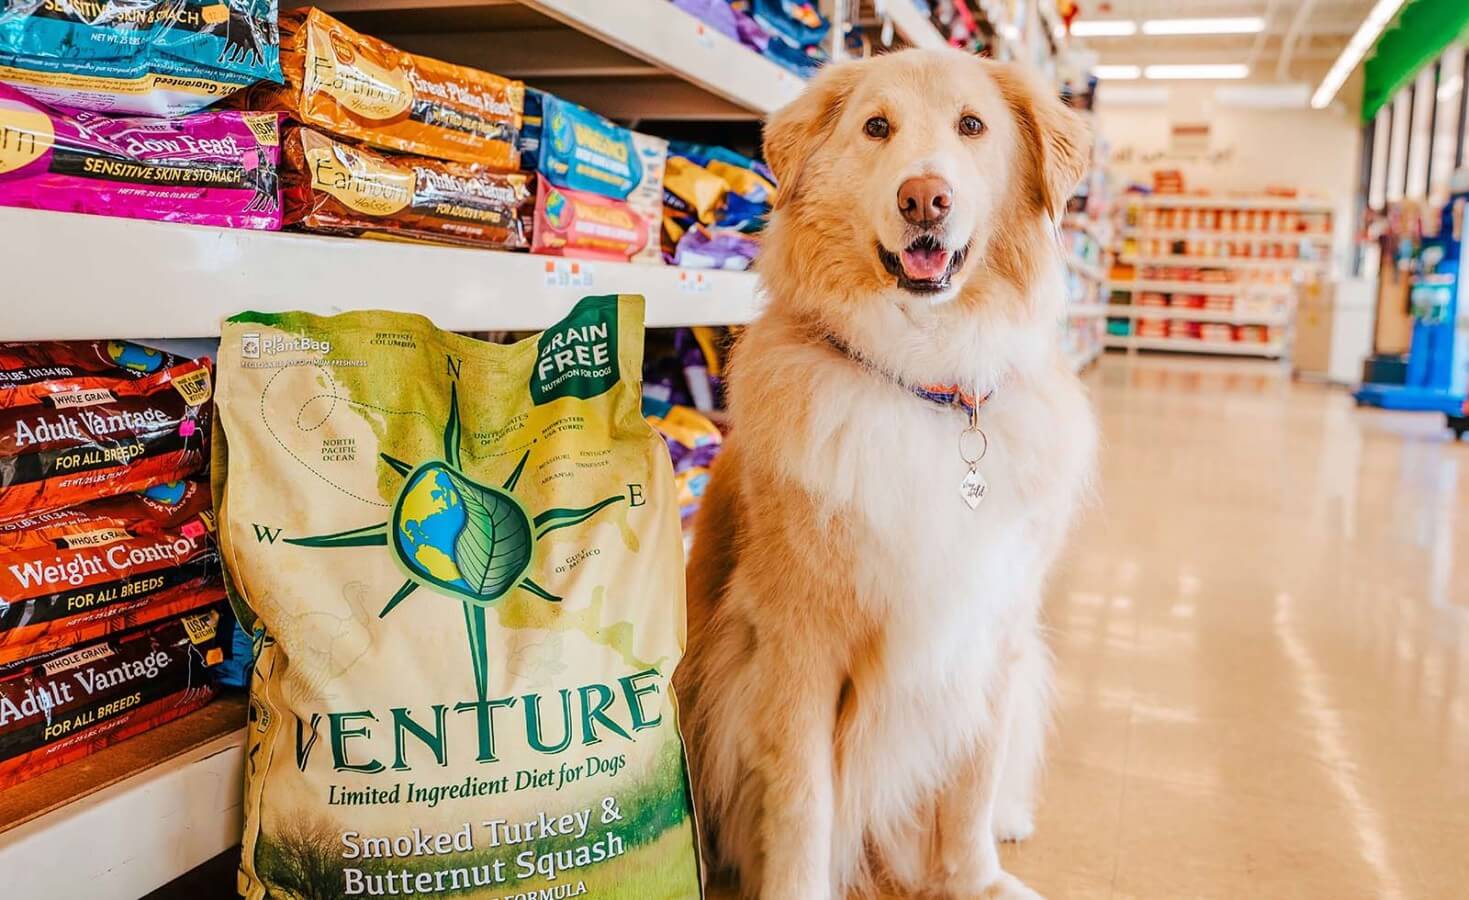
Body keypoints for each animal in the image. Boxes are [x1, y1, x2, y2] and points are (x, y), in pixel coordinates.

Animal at [675, 51, 1092, 898]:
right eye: (876, 127)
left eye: (971, 126)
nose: (923, 196)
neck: (925, 380)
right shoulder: (796, 645)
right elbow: (803, 800)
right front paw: (796, 889)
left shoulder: (992, 632)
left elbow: (970, 782)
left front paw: (974, 877)